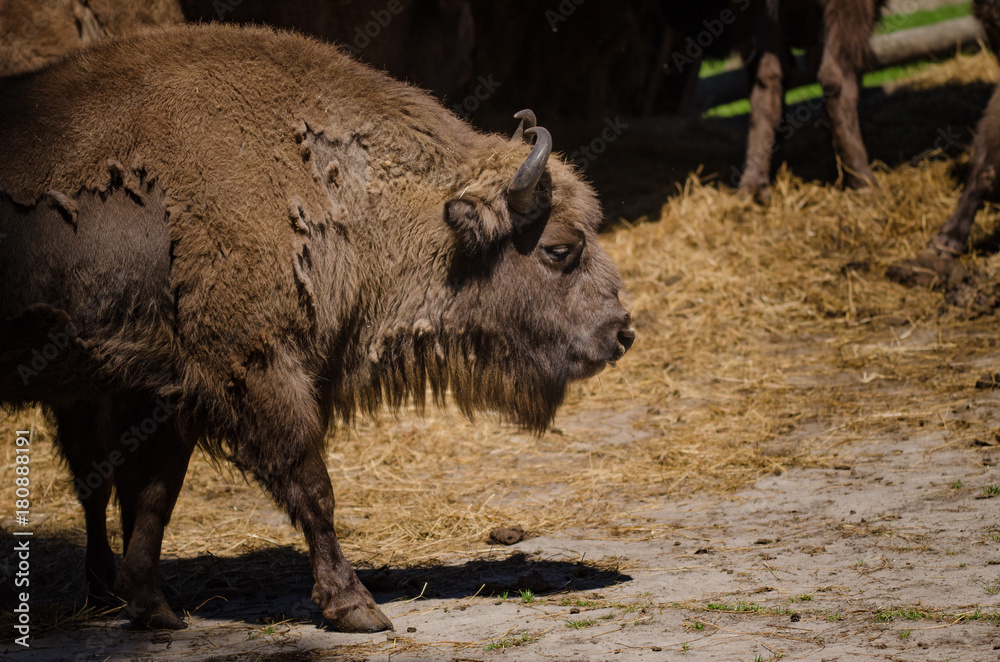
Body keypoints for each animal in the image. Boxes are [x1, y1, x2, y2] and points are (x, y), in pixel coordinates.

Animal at [0, 24, 634, 632]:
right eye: (558, 249)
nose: (621, 333)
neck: (339, 189)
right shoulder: (254, 370)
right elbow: (311, 486)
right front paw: (355, 607)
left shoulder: (168, 392)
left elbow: (153, 496)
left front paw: (153, 608)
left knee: (94, 483)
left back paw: (104, 594)